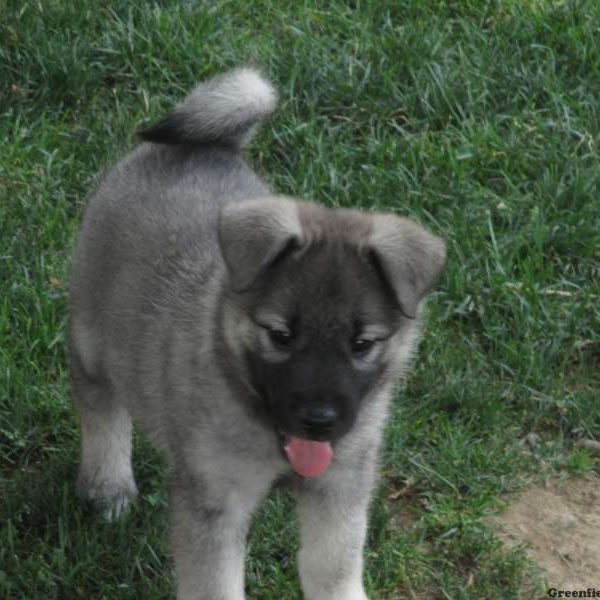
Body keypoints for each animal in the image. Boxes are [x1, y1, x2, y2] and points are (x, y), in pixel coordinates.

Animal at [70, 68, 446, 596]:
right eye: (281, 335)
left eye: (362, 344)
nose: (319, 420)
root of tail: (202, 146)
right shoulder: (215, 507)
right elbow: (217, 584)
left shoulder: (340, 491)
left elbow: (331, 570)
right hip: (92, 341)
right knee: (101, 410)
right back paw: (108, 487)